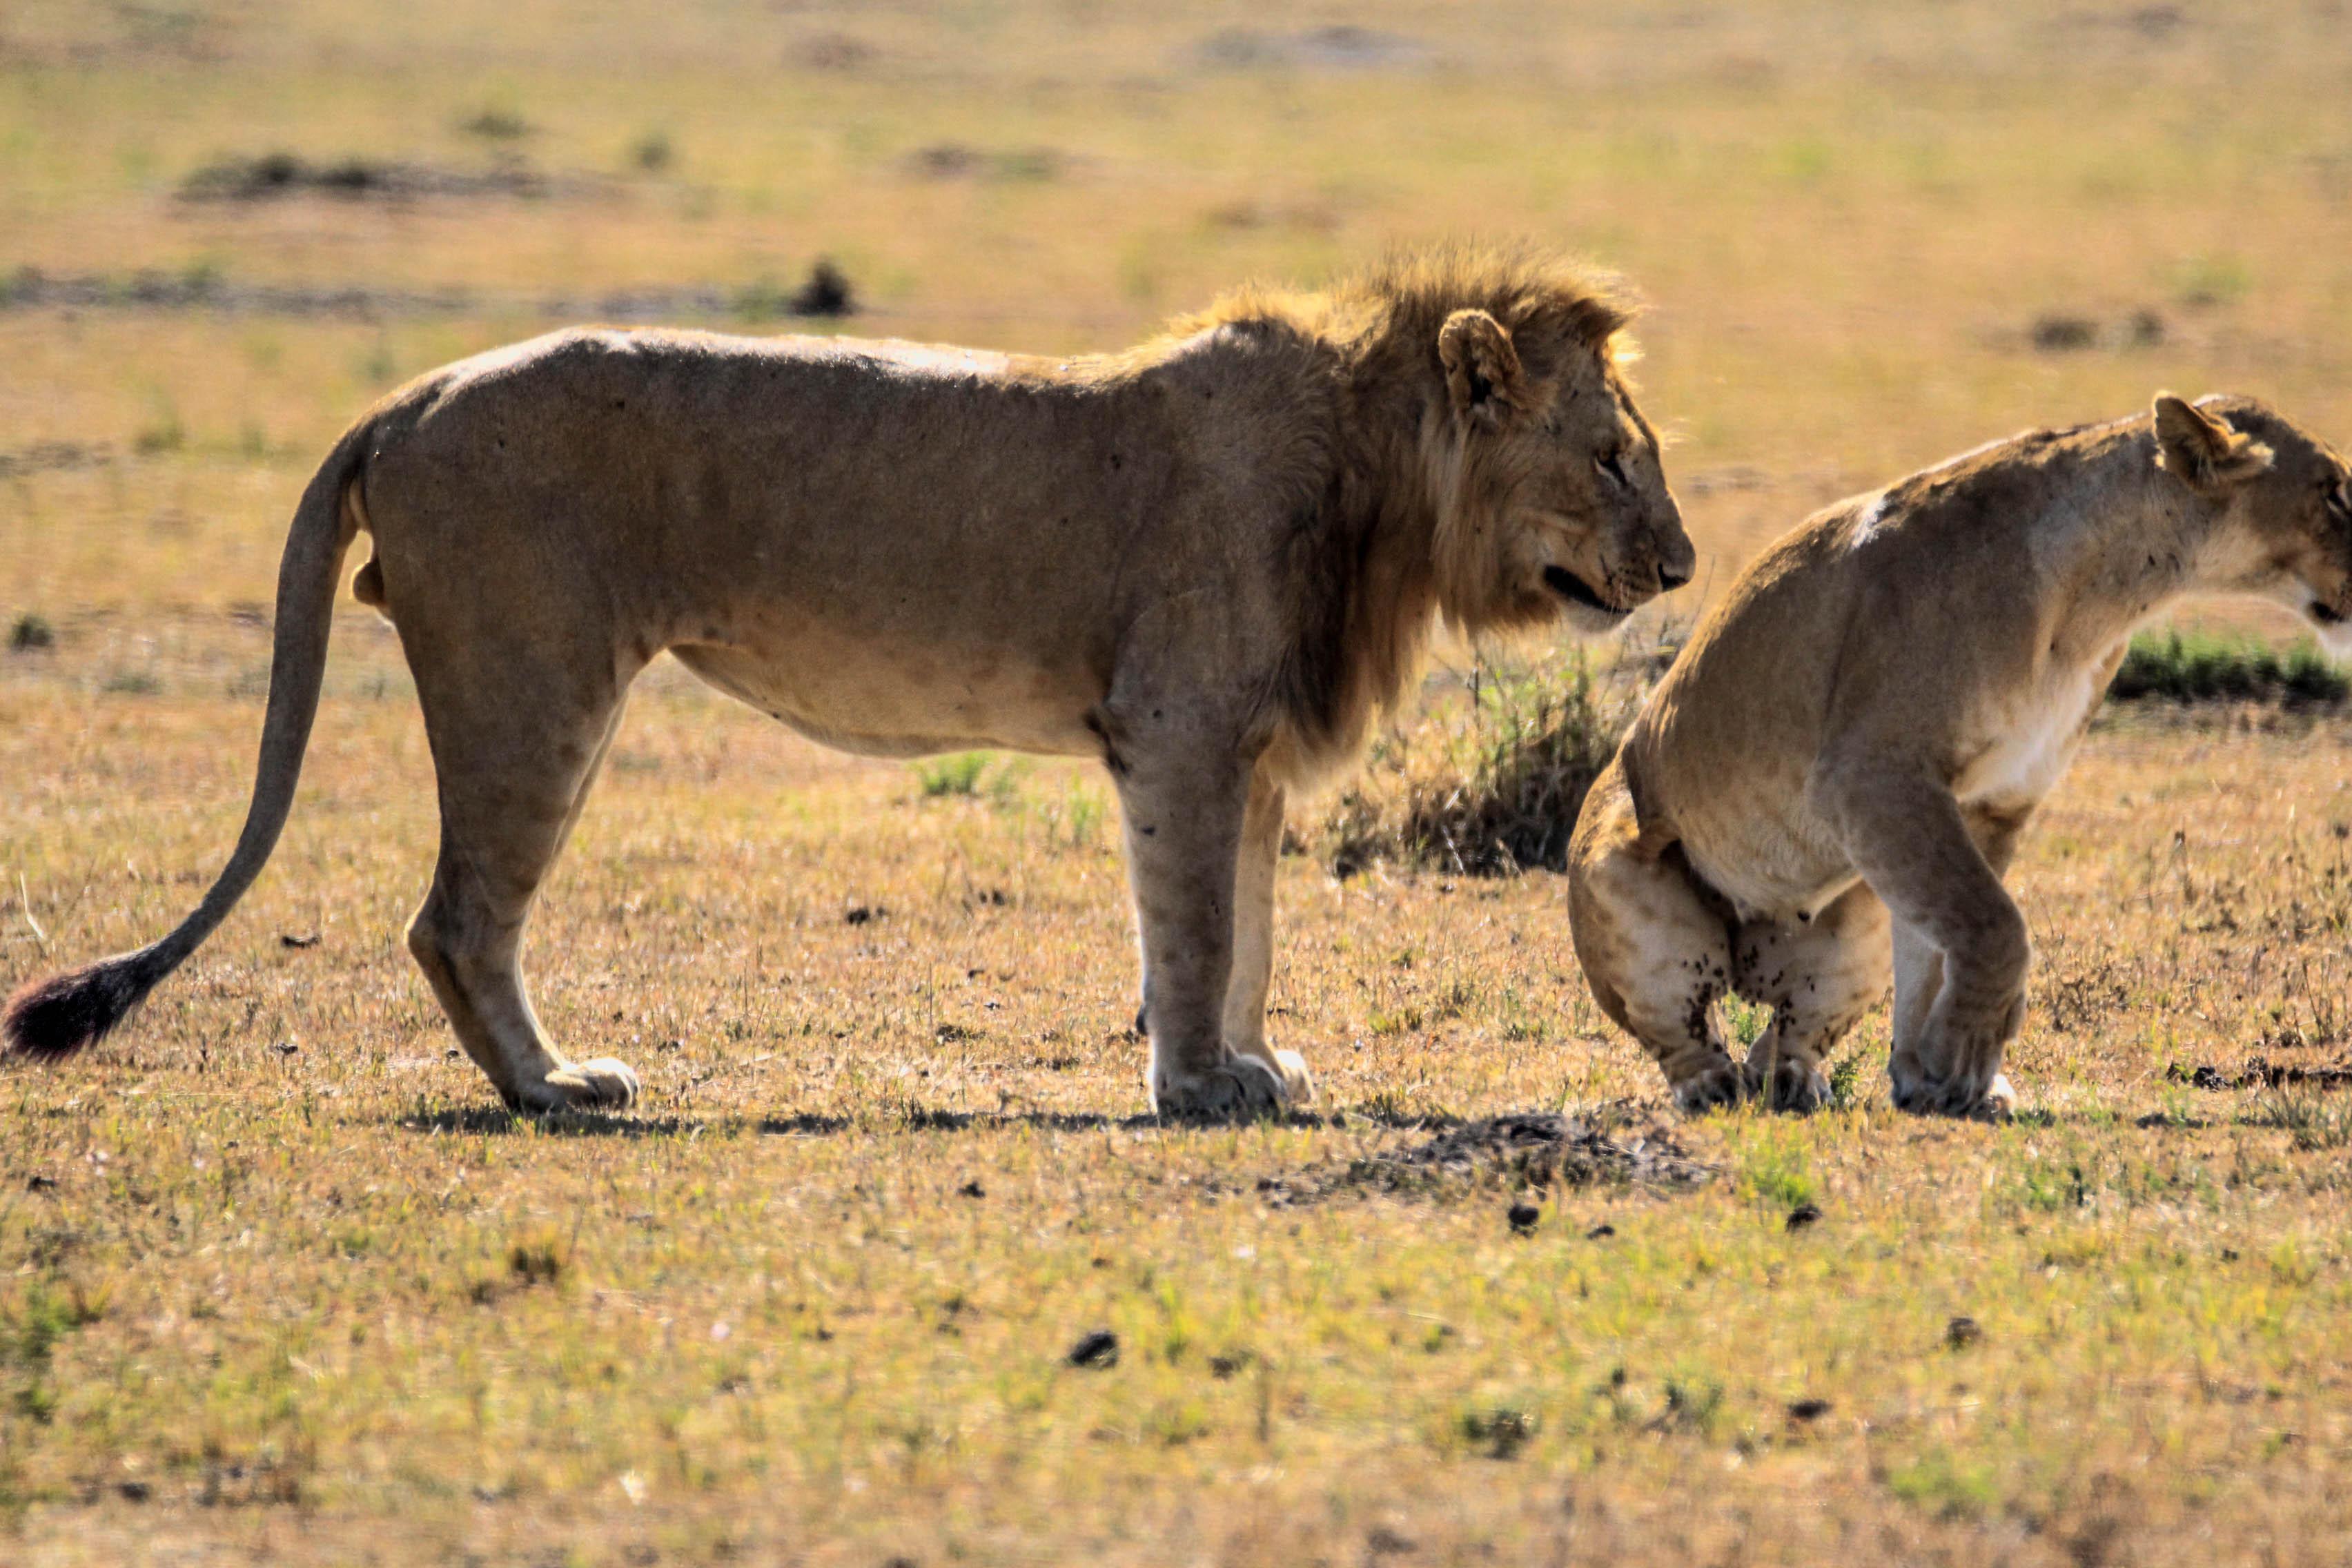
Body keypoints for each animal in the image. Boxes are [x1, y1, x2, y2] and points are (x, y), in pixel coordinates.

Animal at [0, 245, 1693, 1124]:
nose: (1682, 566)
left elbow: (1255, 930)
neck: (1375, 485)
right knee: (455, 918)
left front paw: (1255, 1064)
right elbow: (1198, 928)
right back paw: (557, 1085)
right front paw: (1199, 1081)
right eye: (1613, 458)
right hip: (532, 685)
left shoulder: (1250, 751)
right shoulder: (1180, 731)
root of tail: (404, 398)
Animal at [1561, 400, 2352, 1124]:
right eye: (2336, 492)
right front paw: (1965, 1055)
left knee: (1789, 1030)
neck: (2103, 596)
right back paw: (1713, 1087)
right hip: (1624, 886)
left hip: (1855, 919)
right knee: (1680, 1030)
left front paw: (1933, 1074)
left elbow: (1944, 946)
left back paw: (1789, 1080)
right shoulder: (1874, 778)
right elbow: (1996, 926)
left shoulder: (1990, 800)